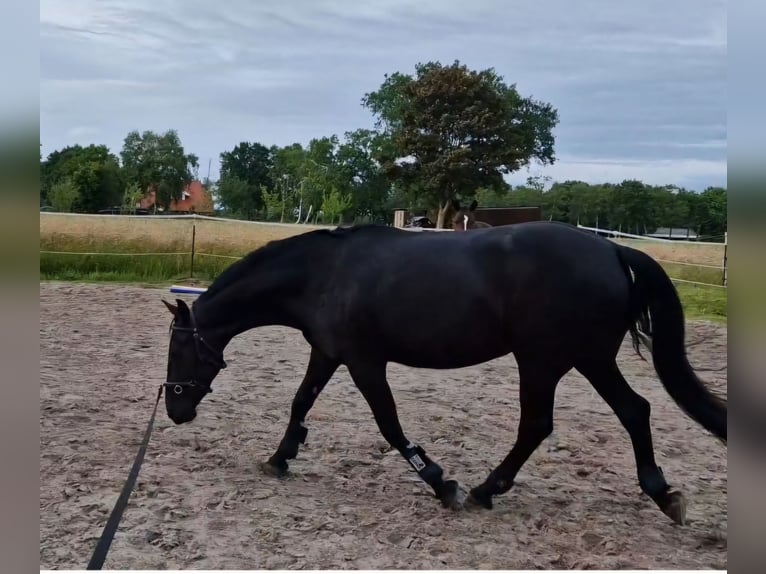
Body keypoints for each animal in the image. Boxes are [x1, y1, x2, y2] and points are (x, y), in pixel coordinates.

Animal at [160, 220, 728, 528]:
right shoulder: (327, 353)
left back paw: (483, 490)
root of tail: (611, 247)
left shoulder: (365, 361)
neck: (325, 274)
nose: (175, 408)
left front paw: (440, 482)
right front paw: (281, 457)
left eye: (178, 348)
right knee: (635, 410)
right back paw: (662, 493)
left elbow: (389, 425)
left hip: (544, 360)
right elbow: (300, 402)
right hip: (588, 359)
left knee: (538, 425)